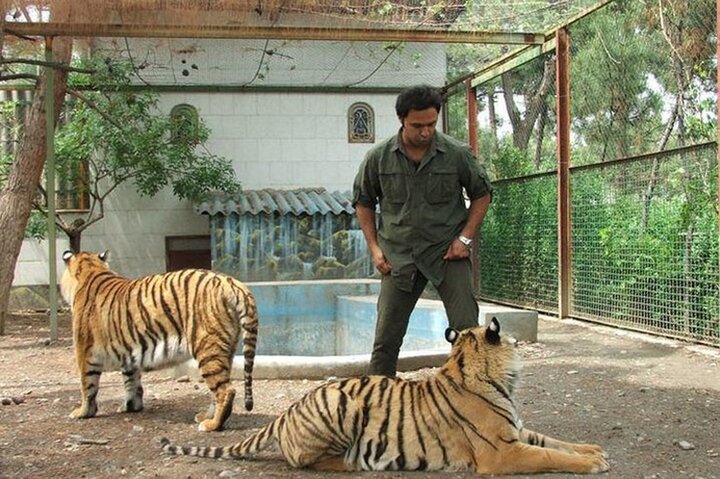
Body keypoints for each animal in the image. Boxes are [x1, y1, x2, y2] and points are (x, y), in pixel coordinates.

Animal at [62, 253, 258, 434]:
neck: (92, 269)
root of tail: (231, 282)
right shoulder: (128, 352)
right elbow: (131, 381)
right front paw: (131, 406)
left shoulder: (85, 352)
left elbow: (87, 385)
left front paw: (83, 412)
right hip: (226, 350)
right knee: (216, 391)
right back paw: (205, 417)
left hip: (208, 348)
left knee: (225, 390)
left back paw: (211, 425)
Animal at [160, 318, 612, 476]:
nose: (519, 340)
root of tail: (286, 411)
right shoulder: (501, 452)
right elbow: (549, 454)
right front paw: (592, 465)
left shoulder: (516, 431)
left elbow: (558, 442)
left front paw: (594, 451)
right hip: (341, 408)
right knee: (307, 460)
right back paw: (351, 463)